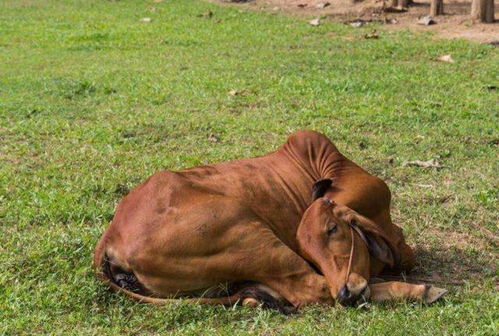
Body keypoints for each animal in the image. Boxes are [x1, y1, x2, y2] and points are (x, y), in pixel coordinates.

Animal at [94, 129, 450, 312]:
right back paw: (422, 291)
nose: (346, 293)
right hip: (252, 235)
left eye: (333, 229)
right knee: (313, 290)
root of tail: (111, 235)